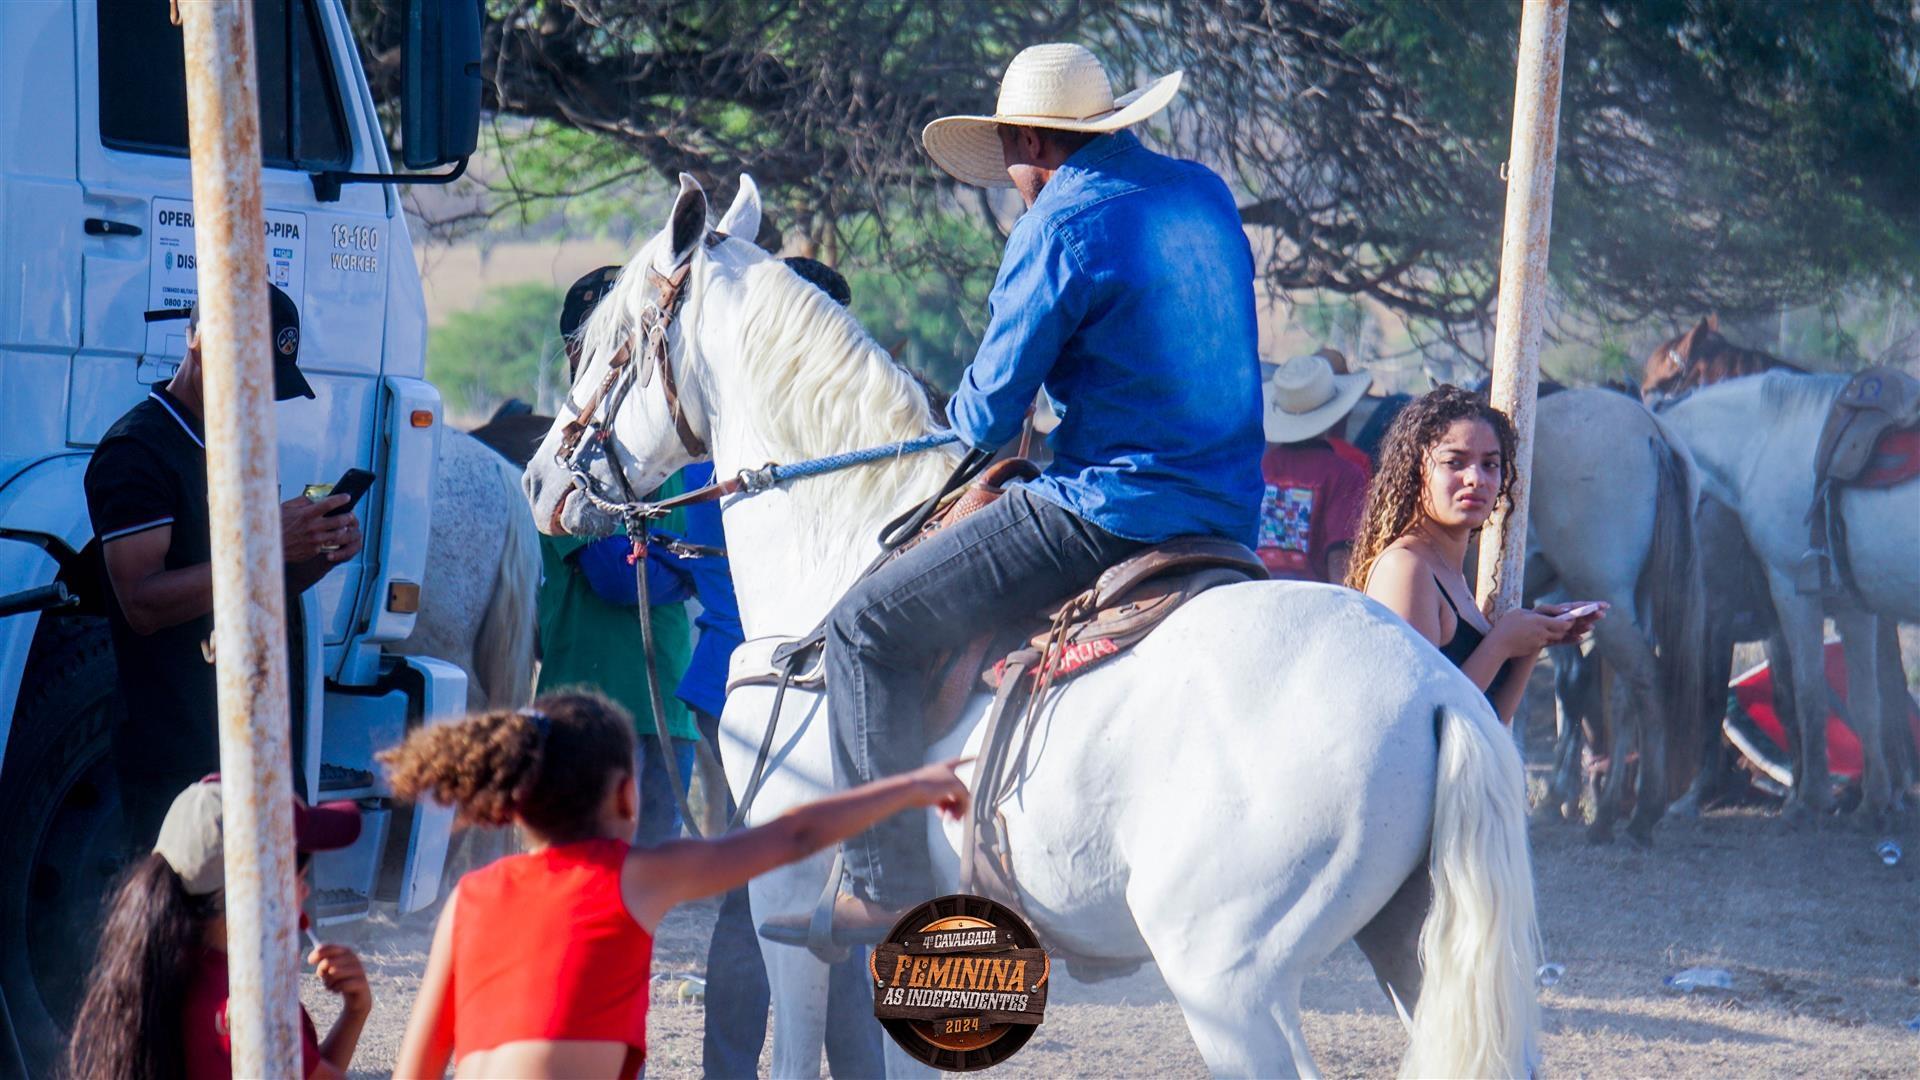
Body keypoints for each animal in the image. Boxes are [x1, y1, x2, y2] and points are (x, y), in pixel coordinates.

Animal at [519, 175, 1541, 1078]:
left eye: (601, 345)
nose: (539, 480)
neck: (840, 543)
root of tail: (1441, 694)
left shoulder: (791, 904)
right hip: (1417, 949)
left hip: (1227, 978)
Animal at [1660, 372, 1920, 820]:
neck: (1762, 442)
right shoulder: (1852, 606)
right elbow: (1865, 701)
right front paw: (1872, 802)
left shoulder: (1791, 592)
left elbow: (1808, 691)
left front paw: (1812, 799)